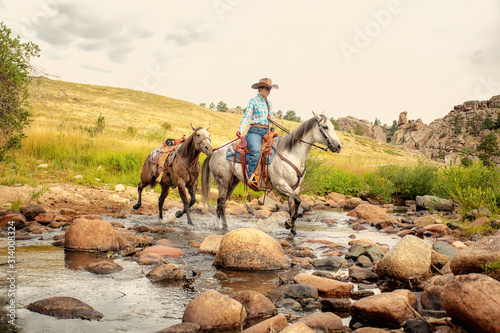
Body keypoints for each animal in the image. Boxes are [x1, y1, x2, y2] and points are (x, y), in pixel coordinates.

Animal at [201, 113, 342, 235]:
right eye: (325, 127)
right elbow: (297, 200)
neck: (291, 154)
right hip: (222, 182)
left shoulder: (295, 187)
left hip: (233, 182)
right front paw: (288, 223)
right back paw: (224, 227)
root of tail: (215, 151)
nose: (339, 146)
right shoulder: (280, 185)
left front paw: (292, 228)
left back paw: (219, 225)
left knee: (220, 203)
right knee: (221, 203)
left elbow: (293, 206)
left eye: (333, 126)